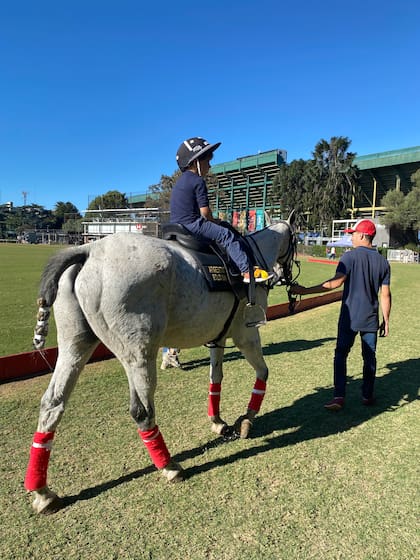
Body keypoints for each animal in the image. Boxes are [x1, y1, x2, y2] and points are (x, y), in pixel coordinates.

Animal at [24, 213, 296, 512]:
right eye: (295, 242)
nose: (287, 276)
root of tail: (89, 250)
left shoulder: (218, 336)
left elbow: (216, 379)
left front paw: (218, 421)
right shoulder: (246, 334)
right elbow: (263, 373)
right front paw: (246, 419)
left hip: (75, 344)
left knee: (52, 404)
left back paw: (42, 492)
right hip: (139, 351)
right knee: (141, 410)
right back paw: (169, 466)